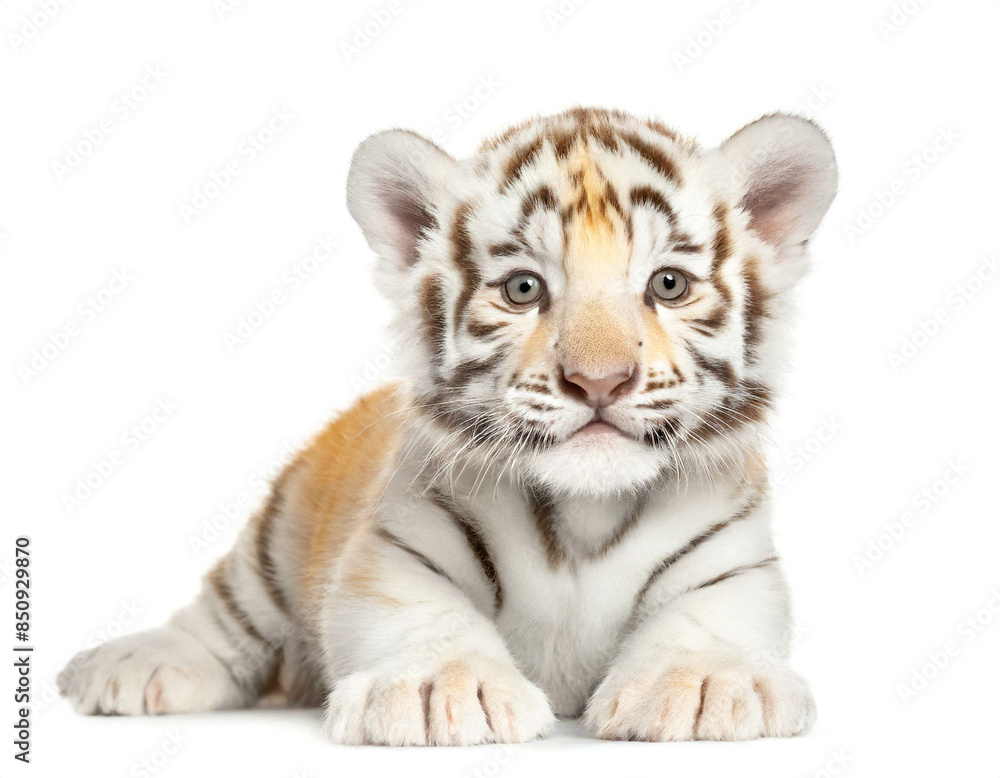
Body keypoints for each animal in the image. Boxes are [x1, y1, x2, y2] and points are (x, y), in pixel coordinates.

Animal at [58, 107, 837, 745]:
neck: (583, 515)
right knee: (222, 621)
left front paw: (705, 682)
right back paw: (129, 666)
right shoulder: (395, 547)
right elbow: (424, 613)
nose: (599, 380)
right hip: (272, 545)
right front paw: (442, 688)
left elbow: (709, 616)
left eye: (668, 285)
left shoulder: (734, 559)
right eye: (523, 289)